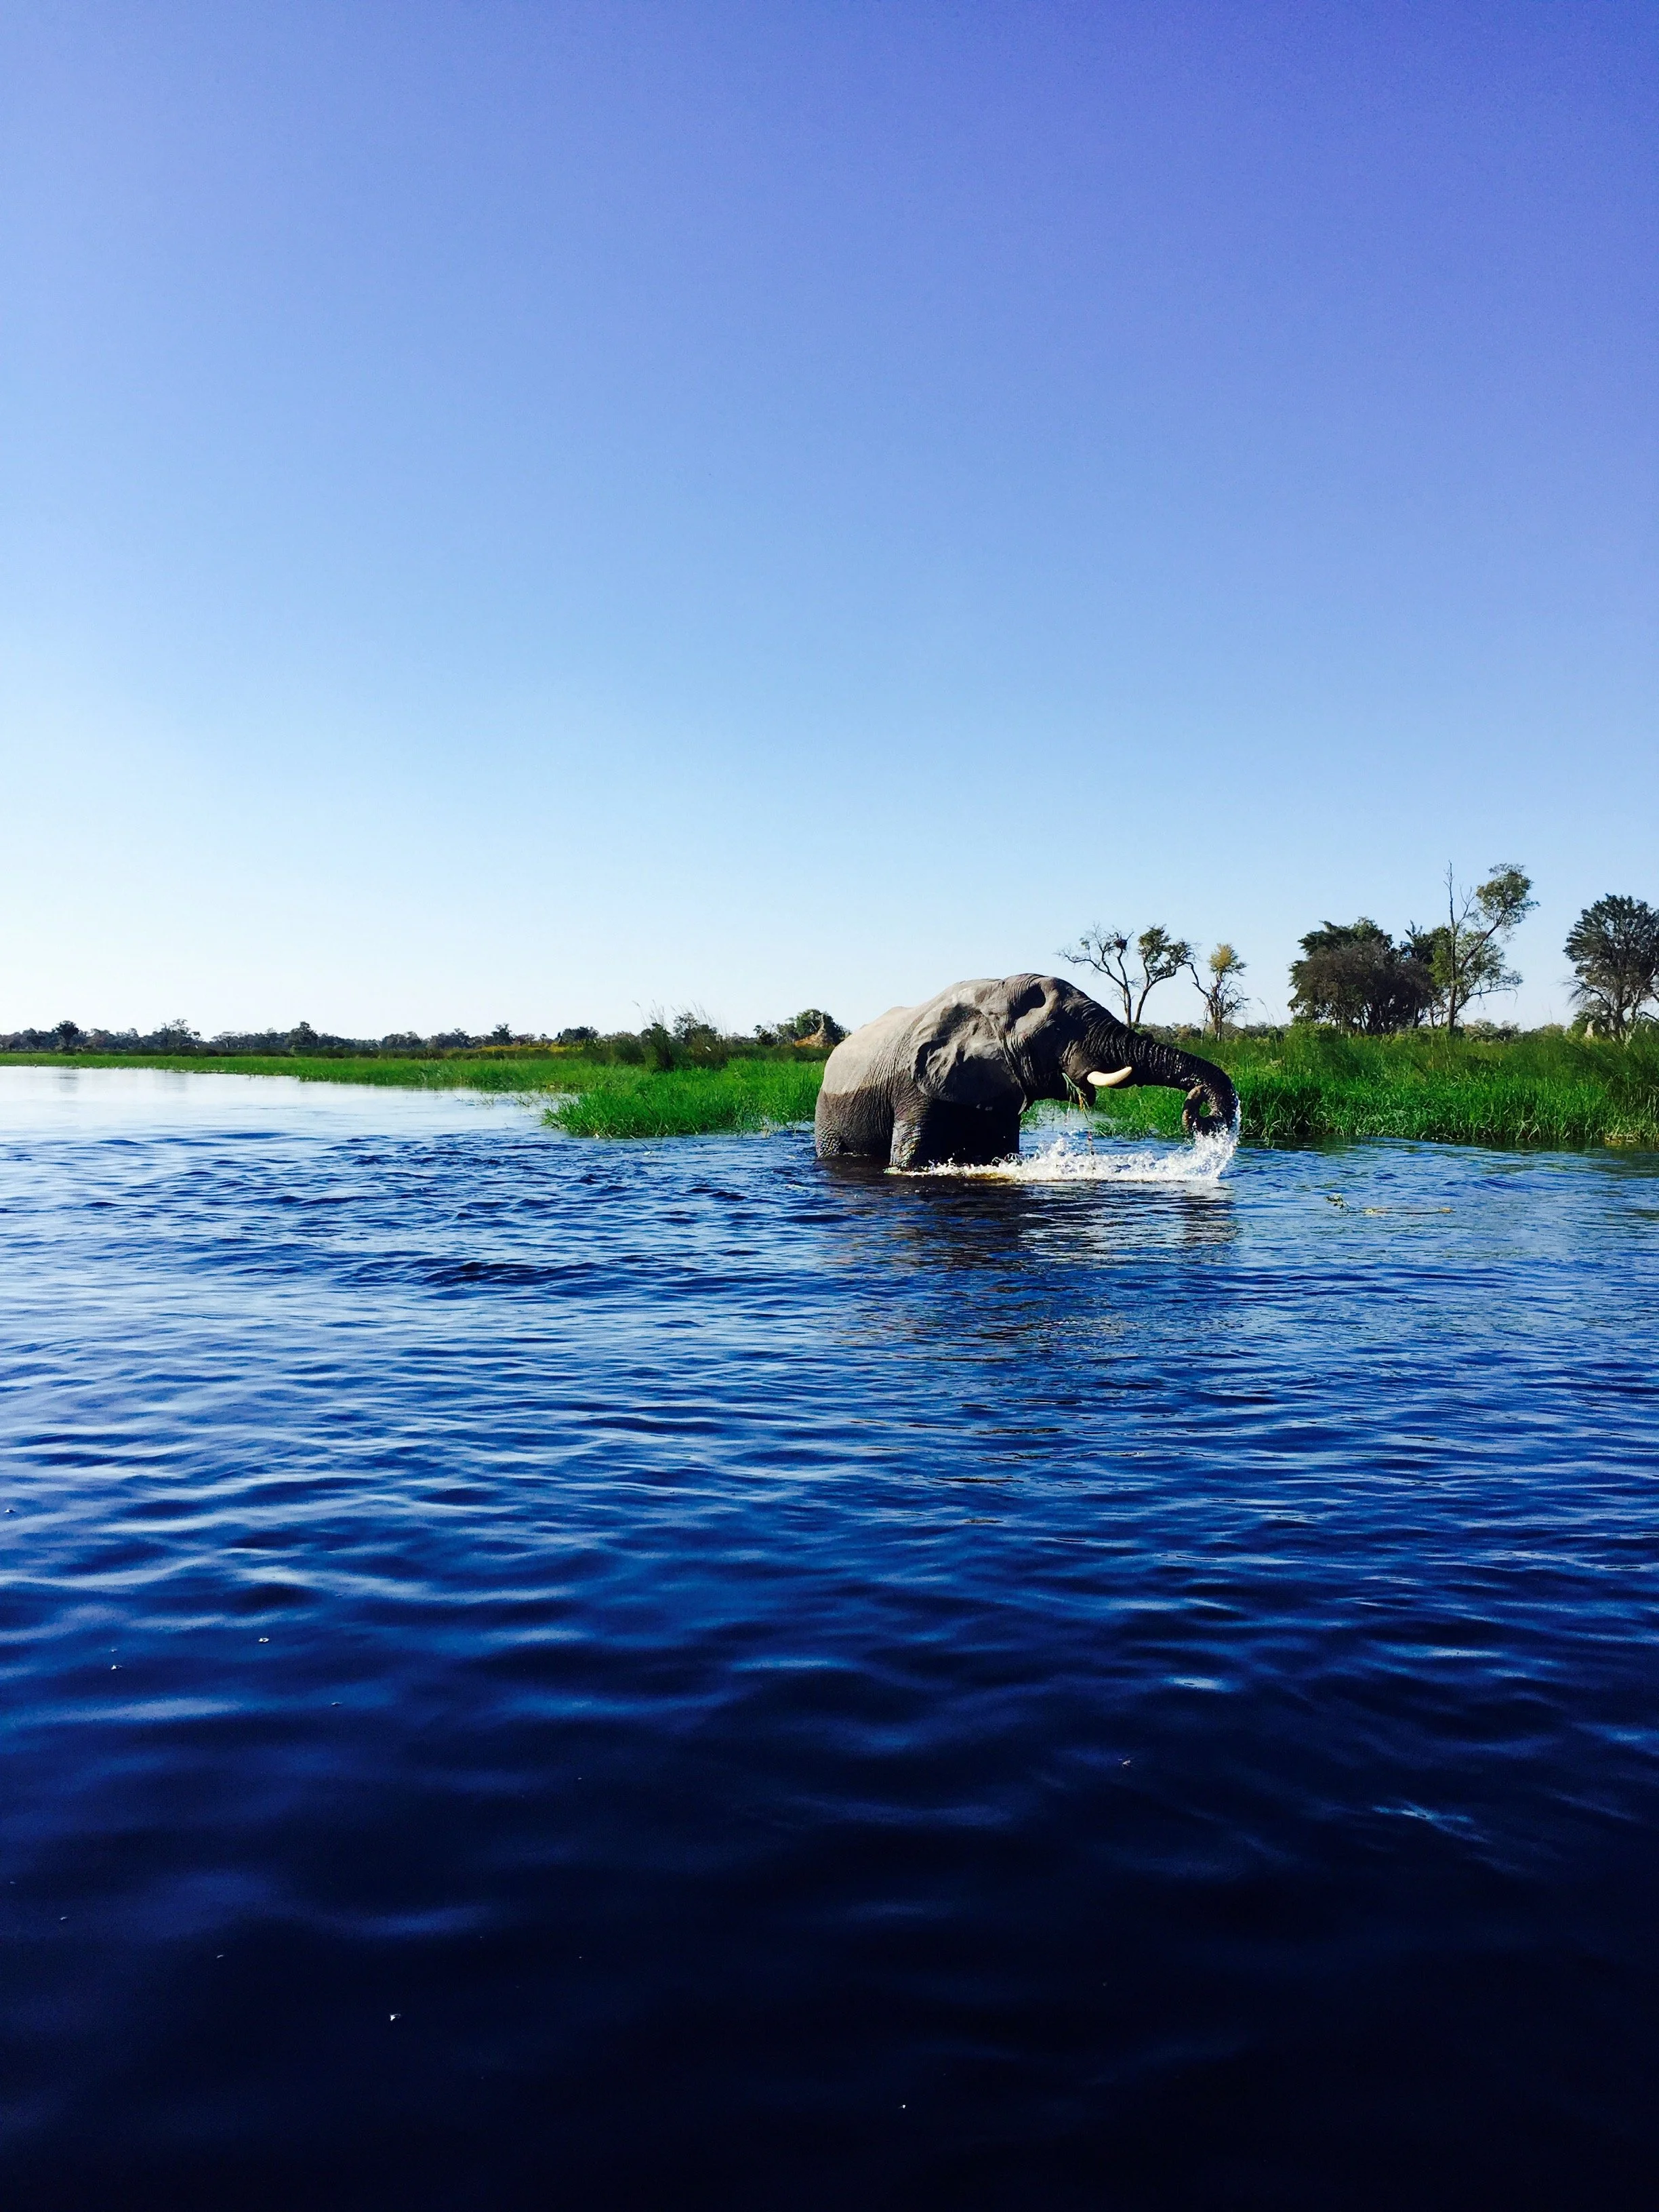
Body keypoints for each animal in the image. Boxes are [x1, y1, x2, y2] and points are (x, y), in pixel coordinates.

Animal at [813, 973, 1239, 1170]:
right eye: (1056, 1031)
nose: (1203, 1107)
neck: (991, 991)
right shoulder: (914, 1086)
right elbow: (910, 1164)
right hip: (826, 1111)